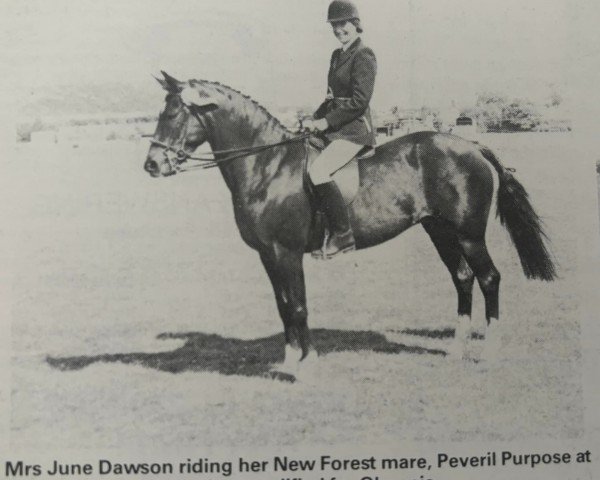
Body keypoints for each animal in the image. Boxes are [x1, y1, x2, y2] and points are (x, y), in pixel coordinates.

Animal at [143, 71, 556, 372]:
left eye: (173, 113)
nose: (152, 165)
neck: (267, 166)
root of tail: (472, 146)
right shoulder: (267, 255)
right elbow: (283, 305)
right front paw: (290, 361)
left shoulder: (286, 252)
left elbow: (298, 305)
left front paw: (306, 365)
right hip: (439, 231)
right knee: (462, 278)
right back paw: (457, 349)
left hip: (468, 234)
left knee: (488, 278)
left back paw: (489, 352)